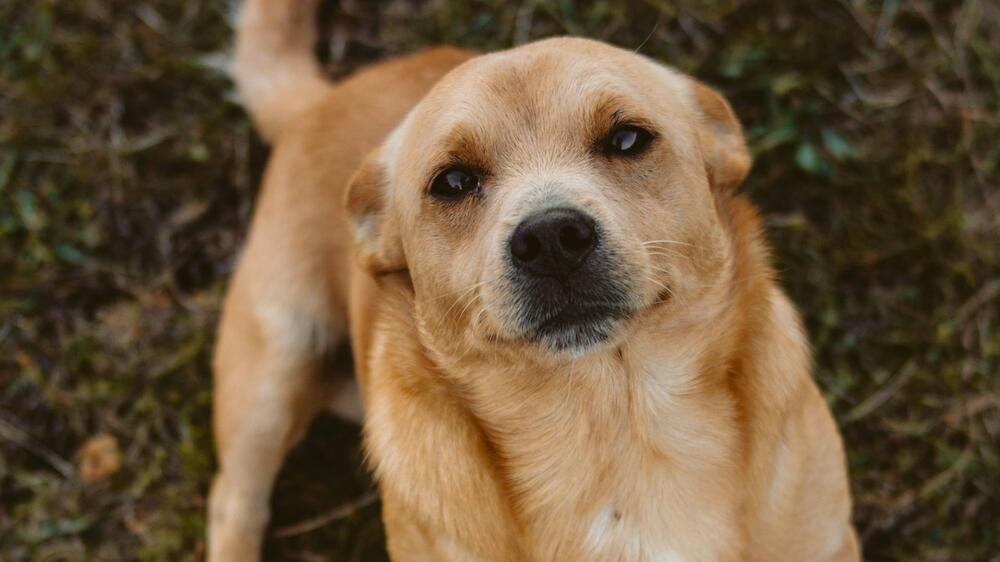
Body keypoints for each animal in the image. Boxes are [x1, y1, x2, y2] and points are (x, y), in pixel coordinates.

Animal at [209, 1, 860, 560]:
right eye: (452, 182)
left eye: (627, 138)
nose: (550, 239)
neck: (614, 435)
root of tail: (324, 98)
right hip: (270, 371)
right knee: (233, 502)